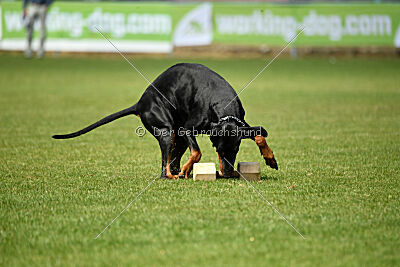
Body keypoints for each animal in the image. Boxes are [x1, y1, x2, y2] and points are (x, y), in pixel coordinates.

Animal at [53, 63, 278, 179]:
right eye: (219, 150)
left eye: (236, 149)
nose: (229, 173)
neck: (221, 101)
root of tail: (139, 104)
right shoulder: (189, 129)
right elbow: (197, 152)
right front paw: (188, 169)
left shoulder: (241, 123)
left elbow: (259, 134)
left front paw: (270, 158)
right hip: (166, 131)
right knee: (164, 168)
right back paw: (174, 174)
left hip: (176, 136)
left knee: (173, 158)